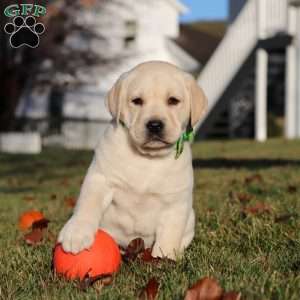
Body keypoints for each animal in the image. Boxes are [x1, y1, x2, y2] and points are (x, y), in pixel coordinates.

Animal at [57, 61, 207, 260]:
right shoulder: (100, 179)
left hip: (191, 220)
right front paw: (76, 234)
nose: (154, 125)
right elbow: (88, 204)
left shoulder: (176, 202)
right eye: (137, 101)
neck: (147, 158)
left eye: (173, 100)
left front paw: (165, 258)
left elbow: (170, 233)